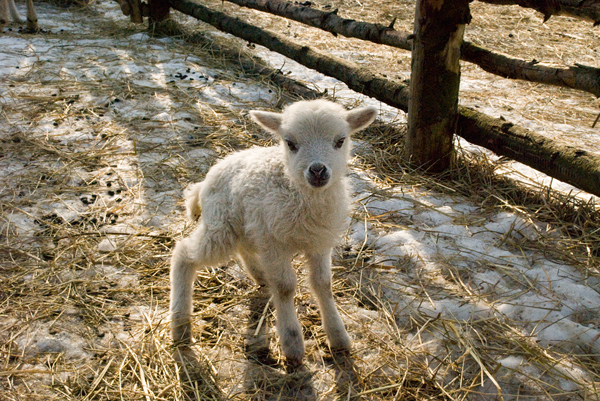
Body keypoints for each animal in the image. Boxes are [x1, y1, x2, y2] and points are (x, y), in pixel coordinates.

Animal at [169, 97, 376, 366]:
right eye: (290, 143)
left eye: (340, 141)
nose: (318, 171)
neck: (304, 197)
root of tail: (206, 179)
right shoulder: (274, 243)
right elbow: (286, 286)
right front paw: (292, 343)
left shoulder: (319, 242)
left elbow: (323, 284)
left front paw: (338, 336)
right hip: (221, 225)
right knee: (184, 254)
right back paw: (180, 325)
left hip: (247, 224)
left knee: (244, 248)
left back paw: (260, 276)